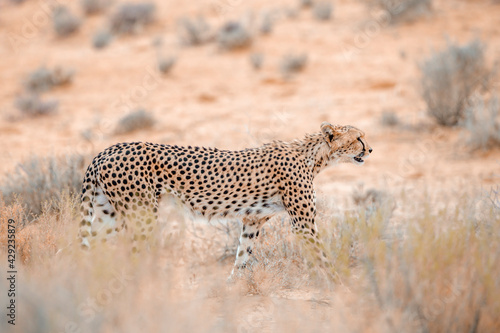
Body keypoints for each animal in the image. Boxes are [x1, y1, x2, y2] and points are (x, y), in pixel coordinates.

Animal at [79, 122, 372, 278]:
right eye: (358, 137)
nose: (370, 149)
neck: (315, 157)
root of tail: (107, 150)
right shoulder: (303, 224)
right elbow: (322, 255)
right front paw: (339, 285)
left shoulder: (253, 219)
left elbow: (243, 253)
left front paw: (234, 285)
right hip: (140, 215)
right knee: (131, 253)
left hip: (109, 215)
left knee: (88, 248)